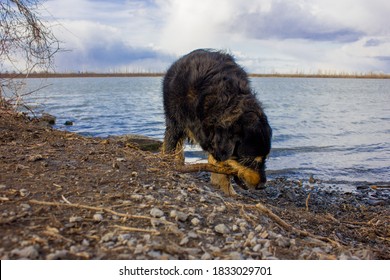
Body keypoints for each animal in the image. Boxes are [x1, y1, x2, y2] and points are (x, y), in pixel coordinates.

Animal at [161, 49, 272, 195]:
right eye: (249, 160)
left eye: (265, 158)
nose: (263, 186)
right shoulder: (176, 124)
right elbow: (170, 147)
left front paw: (226, 189)